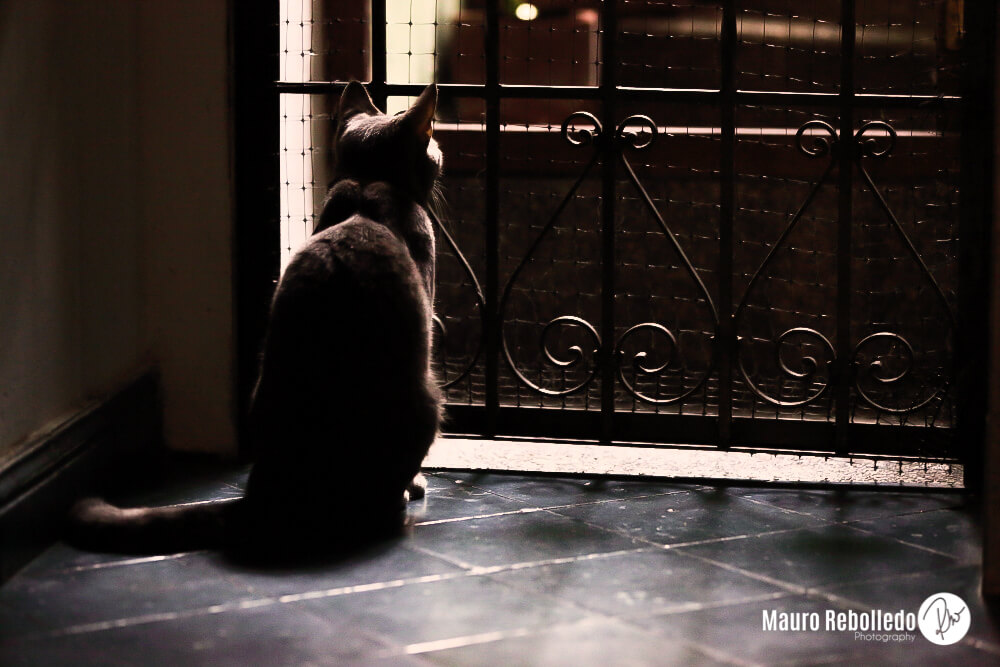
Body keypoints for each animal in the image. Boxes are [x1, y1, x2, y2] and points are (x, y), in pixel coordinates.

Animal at [68, 82, 444, 557]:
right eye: (433, 143)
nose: (441, 152)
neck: (365, 184)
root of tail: (263, 493)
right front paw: (417, 485)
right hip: (428, 396)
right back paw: (403, 497)